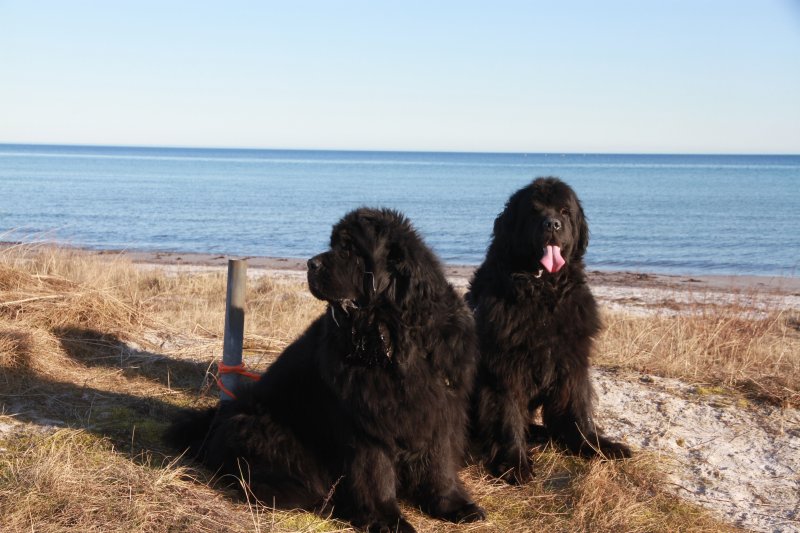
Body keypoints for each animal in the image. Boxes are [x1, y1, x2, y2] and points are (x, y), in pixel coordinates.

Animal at [166, 208, 484, 532]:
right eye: (333, 245)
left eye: (349, 249)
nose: (310, 263)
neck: (393, 339)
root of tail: (211, 431)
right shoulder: (365, 423)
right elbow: (376, 473)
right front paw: (386, 520)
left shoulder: (440, 408)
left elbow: (440, 462)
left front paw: (454, 505)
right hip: (259, 427)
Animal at [467, 177, 631, 484]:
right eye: (534, 211)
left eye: (565, 212)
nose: (552, 224)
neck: (543, 292)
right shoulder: (505, 366)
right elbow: (507, 414)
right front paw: (514, 463)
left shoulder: (572, 360)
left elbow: (578, 408)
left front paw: (594, 445)